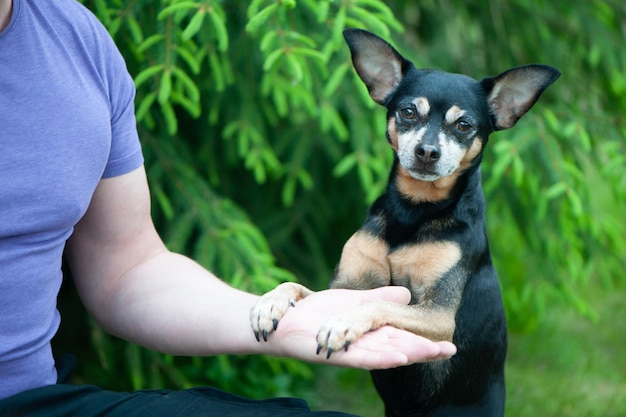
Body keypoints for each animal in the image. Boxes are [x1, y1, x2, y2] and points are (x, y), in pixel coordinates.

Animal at [250, 27, 560, 414]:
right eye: (408, 112)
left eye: (464, 125)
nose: (427, 152)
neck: (413, 211)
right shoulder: (345, 285)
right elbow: (297, 285)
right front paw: (269, 302)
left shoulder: (438, 317)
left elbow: (379, 302)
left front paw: (342, 322)